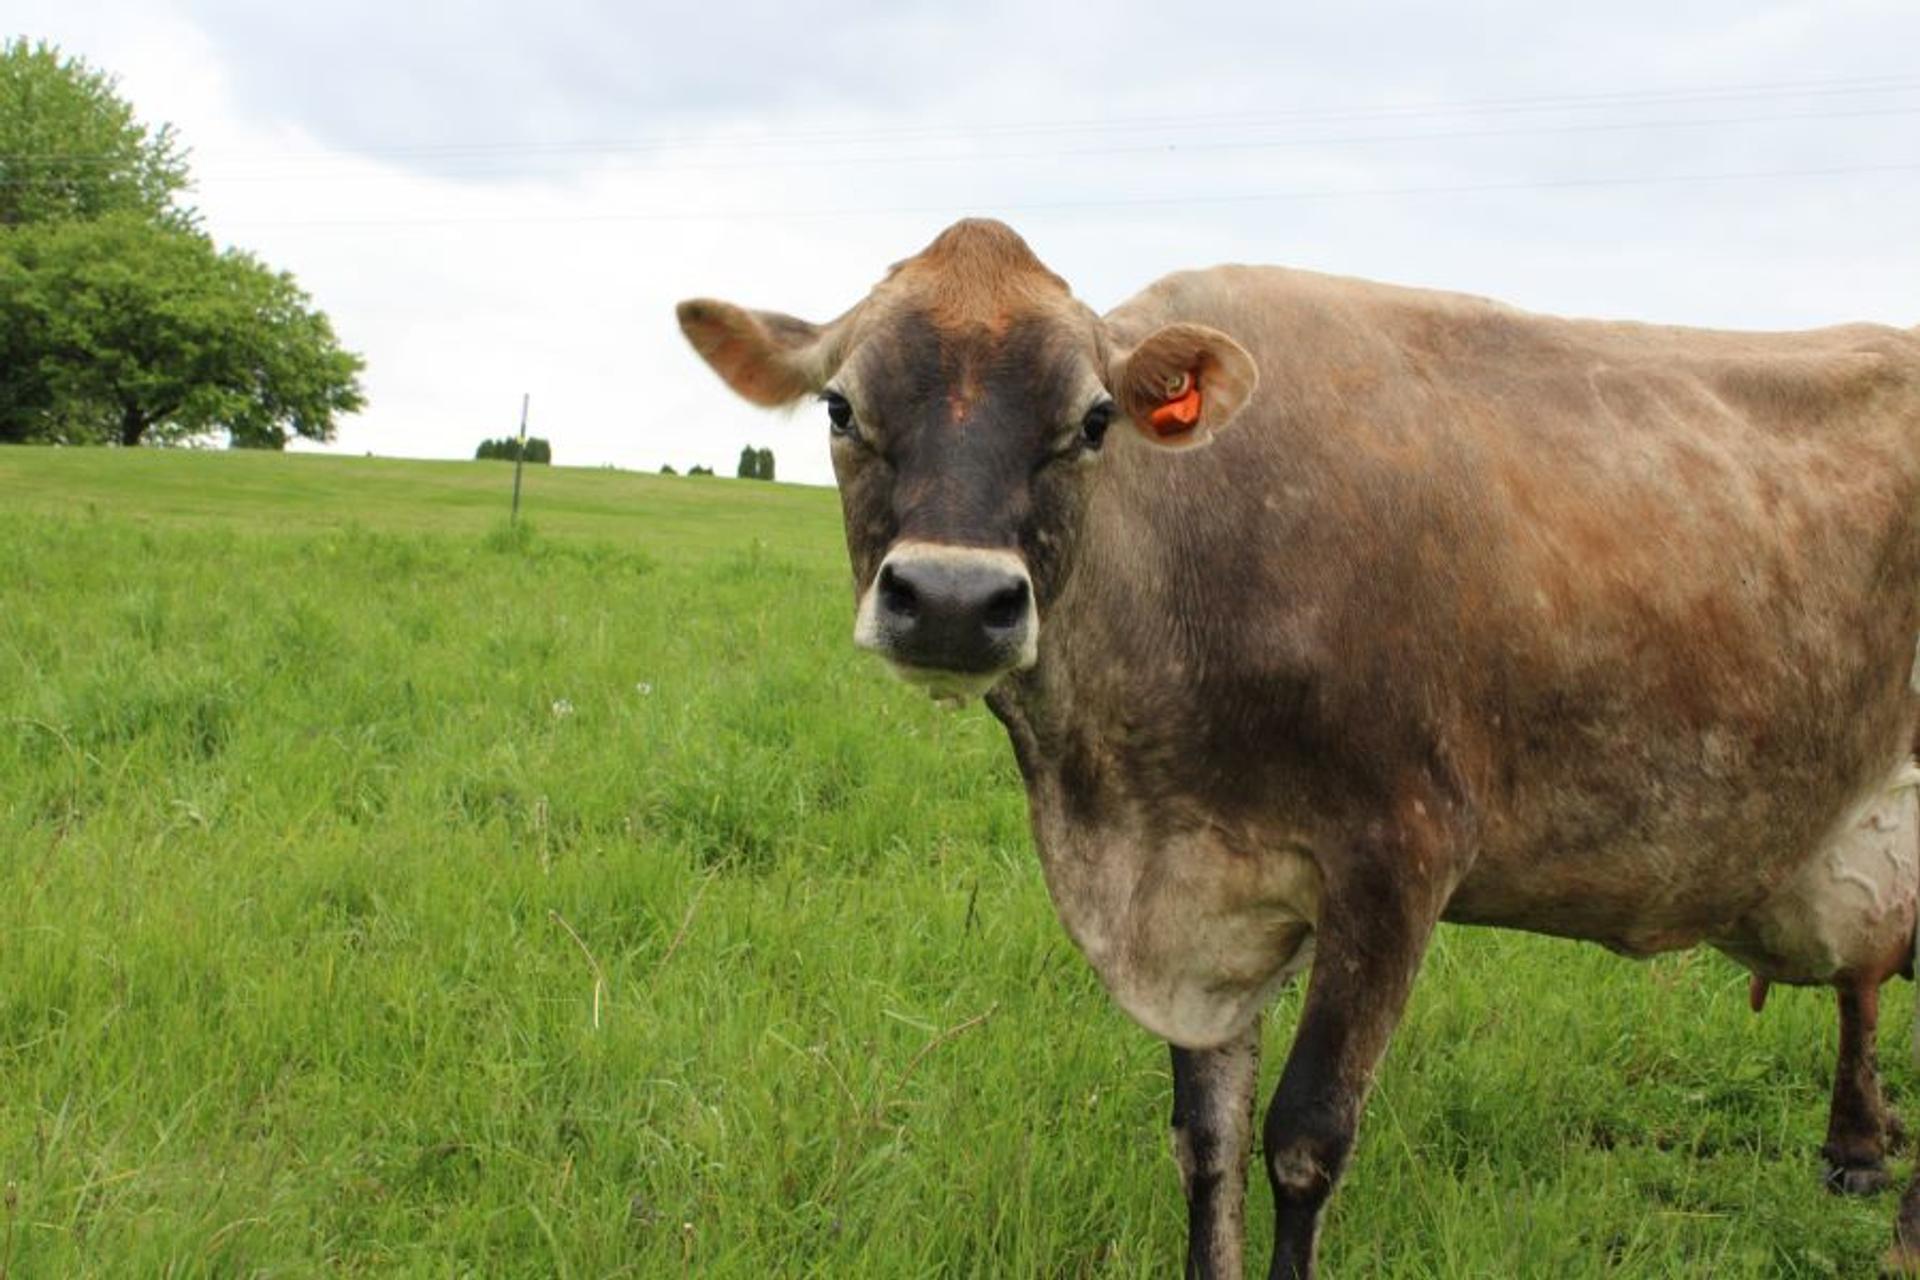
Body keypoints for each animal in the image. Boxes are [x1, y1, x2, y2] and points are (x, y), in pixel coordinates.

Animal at [677, 218, 1920, 1278]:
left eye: (1093, 420)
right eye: (840, 407)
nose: (948, 598)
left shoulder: (1399, 858)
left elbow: (1305, 1136)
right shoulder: (1200, 899)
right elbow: (1206, 1139)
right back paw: (1857, 1148)